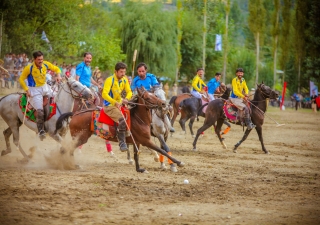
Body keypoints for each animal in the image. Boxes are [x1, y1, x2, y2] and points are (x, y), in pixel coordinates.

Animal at [55, 87, 185, 173]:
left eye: (155, 95)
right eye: (148, 97)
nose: (163, 104)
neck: (138, 119)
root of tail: (75, 114)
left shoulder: (137, 142)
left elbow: (136, 155)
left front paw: (139, 169)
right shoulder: (146, 141)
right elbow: (162, 150)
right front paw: (179, 162)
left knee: (67, 149)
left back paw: (73, 165)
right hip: (80, 137)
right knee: (65, 149)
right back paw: (69, 165)